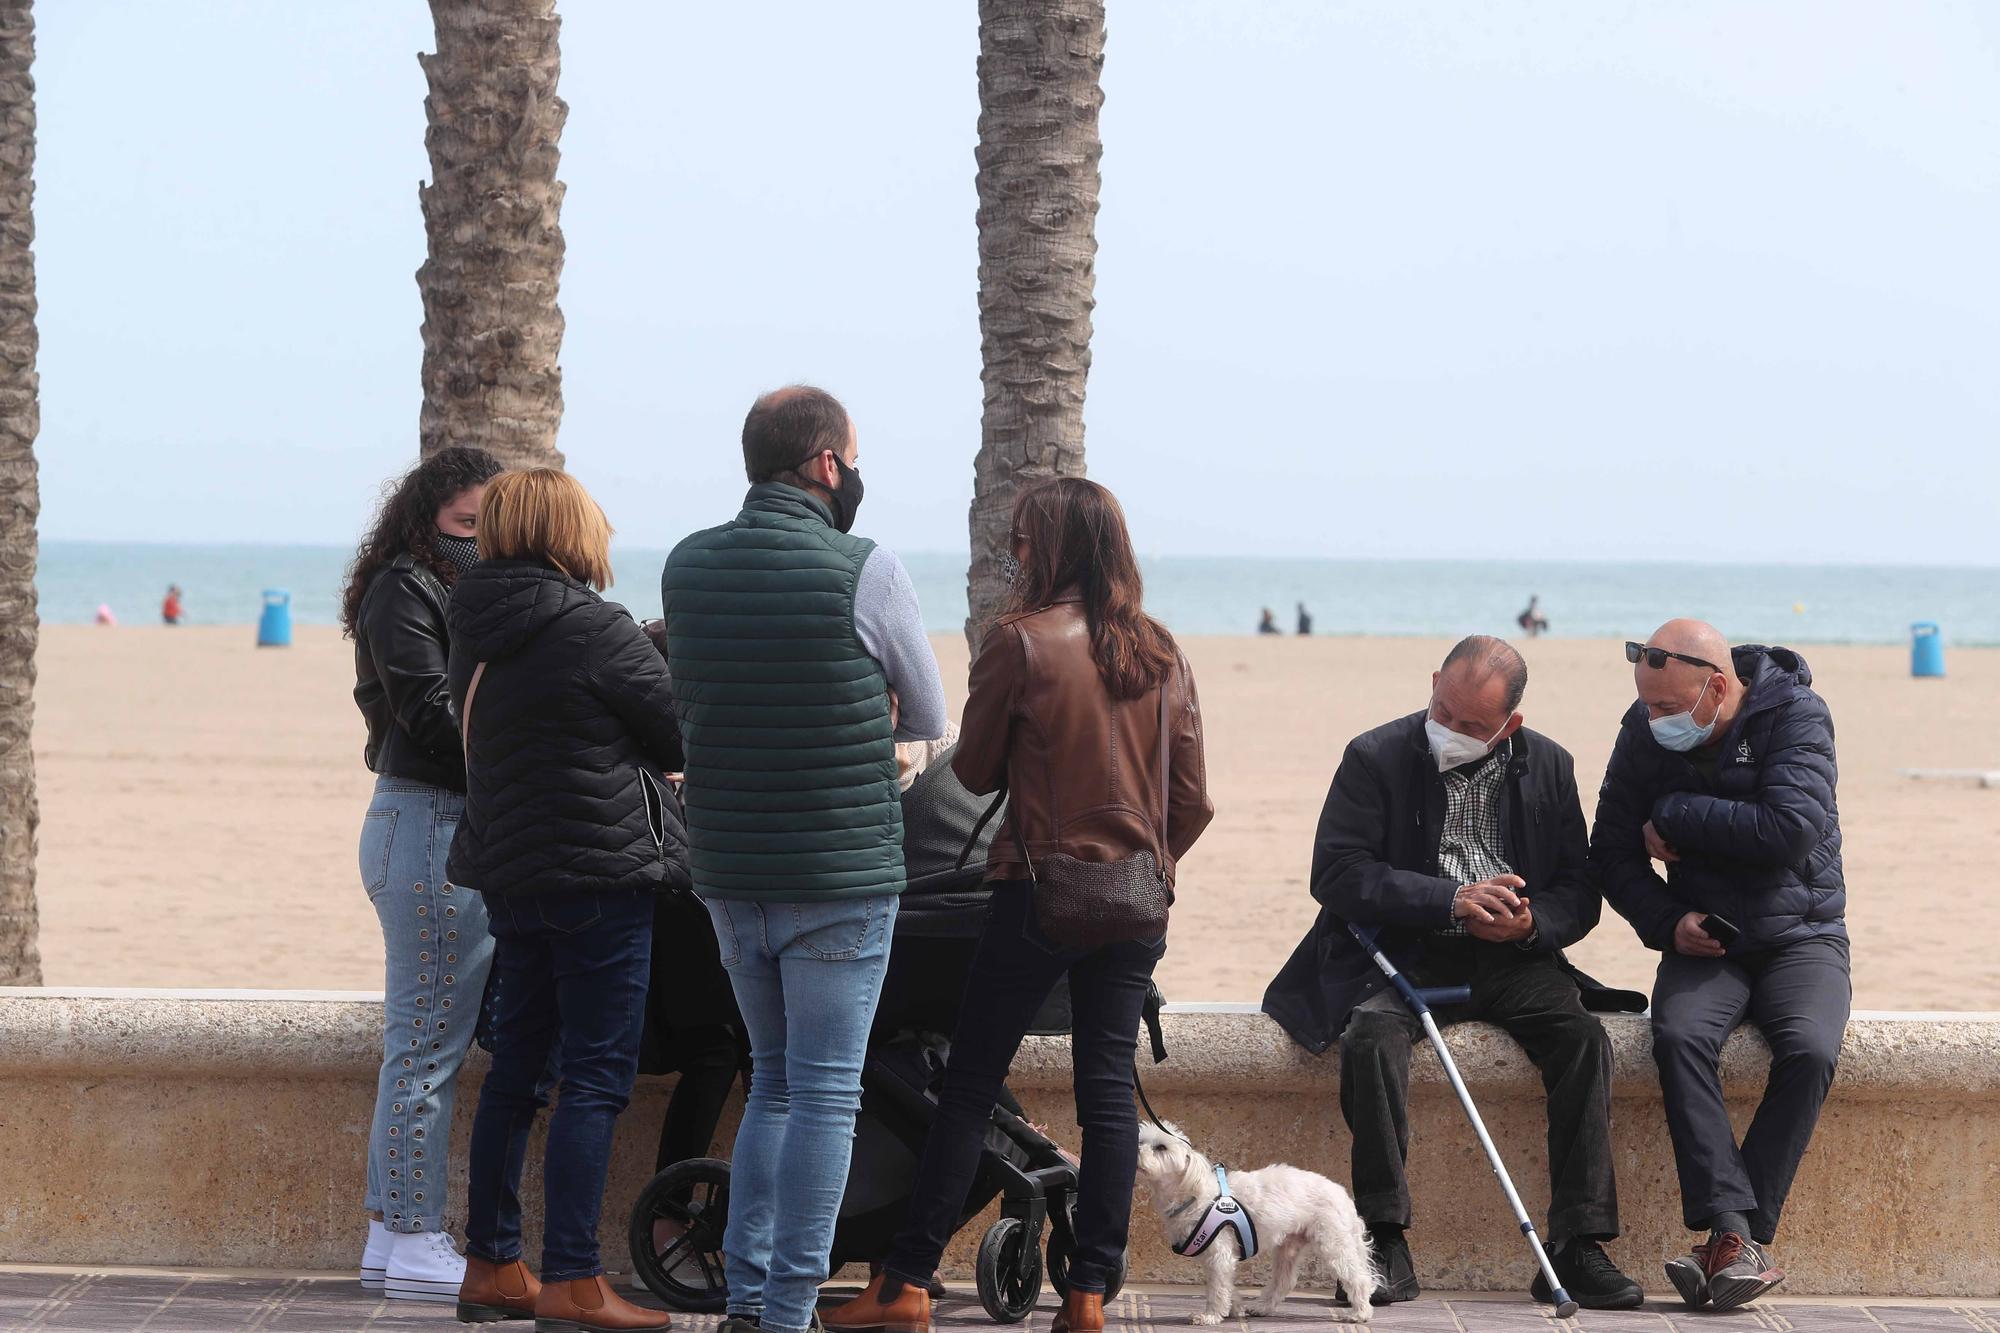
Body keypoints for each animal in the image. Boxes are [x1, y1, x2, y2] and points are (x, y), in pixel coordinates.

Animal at [1144, 1120, 1376, 1320]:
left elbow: (1217, 1289)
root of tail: (1342, 1195)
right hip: (1289, 1245)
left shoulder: (1219, 1253)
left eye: (1161, 1147)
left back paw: (1360, 1313)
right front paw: (1234, 1307)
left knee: (1358, 1278)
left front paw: (1210, 1316)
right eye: (1141, 1141)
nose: (1138, 1152)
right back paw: (1262, 1307)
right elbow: (1227, 1285)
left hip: (1332, 1242)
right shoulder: (1221, 1260)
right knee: (1284, 1280)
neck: (1194, 1193)